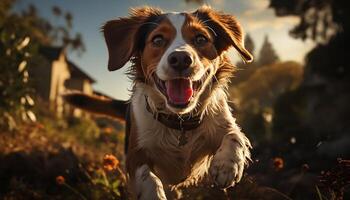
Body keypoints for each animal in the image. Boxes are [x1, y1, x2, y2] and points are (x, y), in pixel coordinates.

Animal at [64, 5, 253, 199]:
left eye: (201, 38)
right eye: (158, 39)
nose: (181, 59)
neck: (179, 122)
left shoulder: (222, 123)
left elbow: (235, 135)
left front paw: (226, 165)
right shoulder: (134, 155)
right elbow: (148, 178)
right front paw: (154, 193)